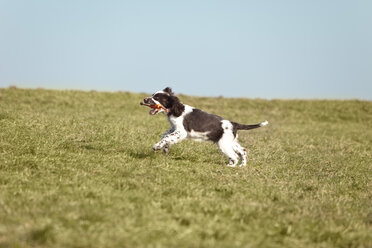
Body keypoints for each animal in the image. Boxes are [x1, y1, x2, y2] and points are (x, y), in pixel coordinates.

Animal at [140, 87, 268, 167]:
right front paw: (164, 148)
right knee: (243, 151)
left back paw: (230, 166)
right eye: (152, 95)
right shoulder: (174, 128)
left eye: (157, 98)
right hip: (231, 142)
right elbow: (165, 135)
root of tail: (233, 124)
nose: (144, 100)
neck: (175, 109)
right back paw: (242, 165)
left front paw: (157, 146)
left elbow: (167, 137)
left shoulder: (181, 131)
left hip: (223, 144)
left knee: (235, 156)